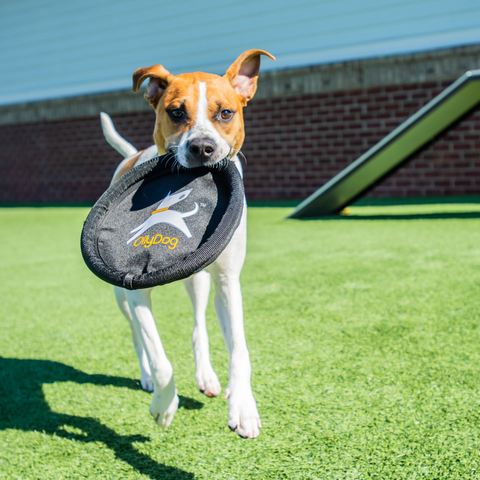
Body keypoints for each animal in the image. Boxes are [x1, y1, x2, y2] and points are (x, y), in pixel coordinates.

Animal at [100, 49, 274, 438]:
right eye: (176, 112)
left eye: (226, 113)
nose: (202, 147)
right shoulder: (135, 290)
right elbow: (159, 357)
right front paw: (164, 406)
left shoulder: (227, 282)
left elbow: (240, 350)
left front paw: (243, 406)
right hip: (119, 297)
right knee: (136, 336)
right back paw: (147, 378)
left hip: (198, 281)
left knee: (199, 326)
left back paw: (209, 377)